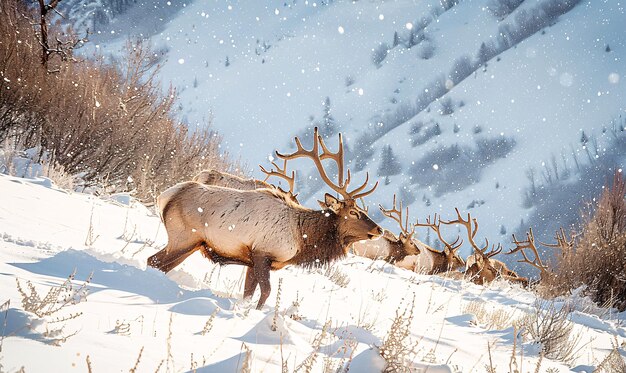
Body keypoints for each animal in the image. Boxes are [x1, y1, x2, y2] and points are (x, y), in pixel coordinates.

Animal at [146, 127, 380, 308]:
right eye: (353, 212)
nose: (380, 229)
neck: (302, 238)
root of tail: (164, 196)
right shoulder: (262, 253)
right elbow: (266, 293)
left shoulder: (251, 260)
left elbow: (248, 293)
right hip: (183, 237)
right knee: (153, 260)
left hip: (194, 244)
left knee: (160, 264)